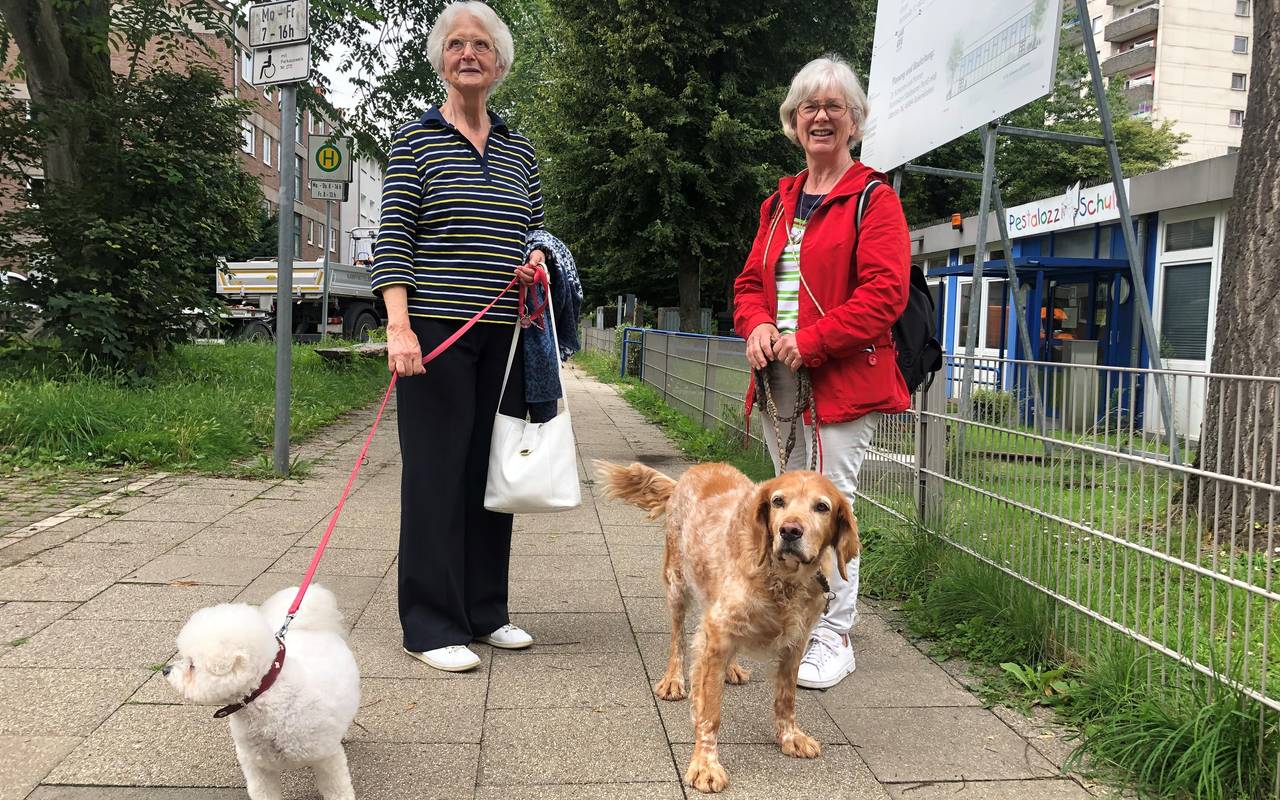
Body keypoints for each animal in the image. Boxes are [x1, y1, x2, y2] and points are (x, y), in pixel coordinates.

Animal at [162, 583, 360, 793]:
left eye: (192, 665)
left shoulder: (326, 757)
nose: (165, 670)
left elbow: (337, 790)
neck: (265, 695)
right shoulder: (257, 765)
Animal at [591, 458, 855, 788]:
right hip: (677, 584)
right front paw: (705, 765)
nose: (790, 531)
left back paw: (731, 669)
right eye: (778, 501)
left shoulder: (795, 641)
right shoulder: (717, 632)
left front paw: (789, 737)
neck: (781, 579)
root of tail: (695, 470)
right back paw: (674, 680)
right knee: (678, 639)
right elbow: (710, 711)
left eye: (822, 507)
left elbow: (786, 698)